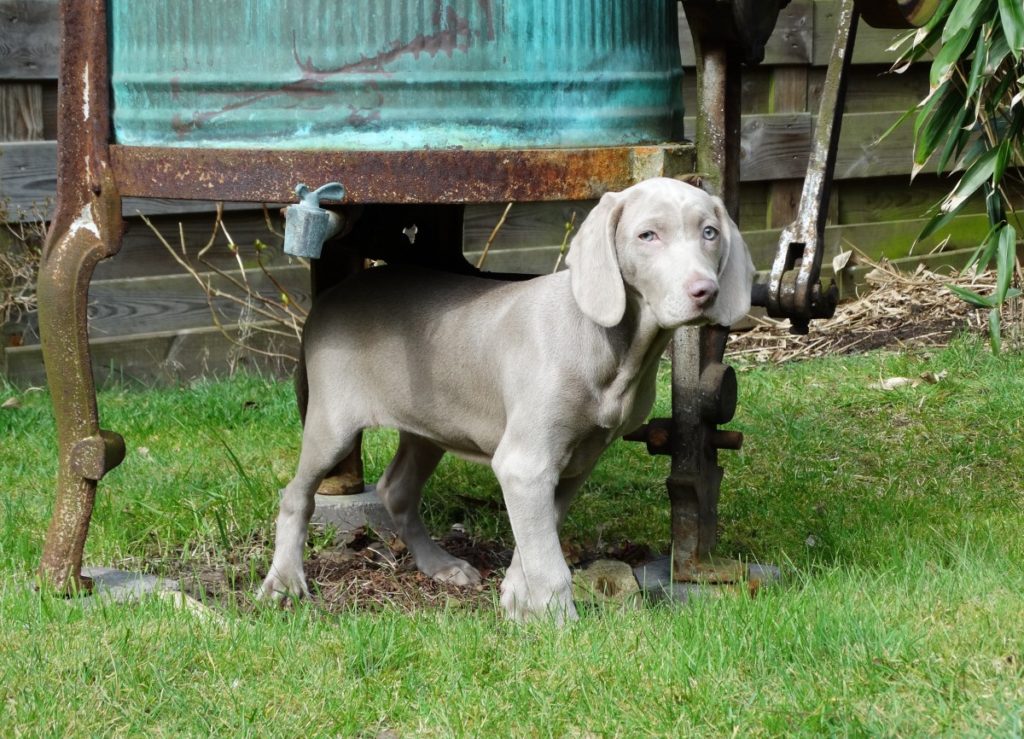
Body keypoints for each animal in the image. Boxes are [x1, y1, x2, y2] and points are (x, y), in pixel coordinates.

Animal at [260, 178, 757, 622]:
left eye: (709, 233)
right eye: (647, 235)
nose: (705, 292)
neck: (615, 348)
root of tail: (327, 300)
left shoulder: (576, 462)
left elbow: (538, 538)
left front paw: (518, 604)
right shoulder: (527, 463)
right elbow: (550, 564)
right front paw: (562, 628)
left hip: (431, 423)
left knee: (396, 491)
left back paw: (441, 566)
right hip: (332, 425)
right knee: (295, 495)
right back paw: (284, 582)